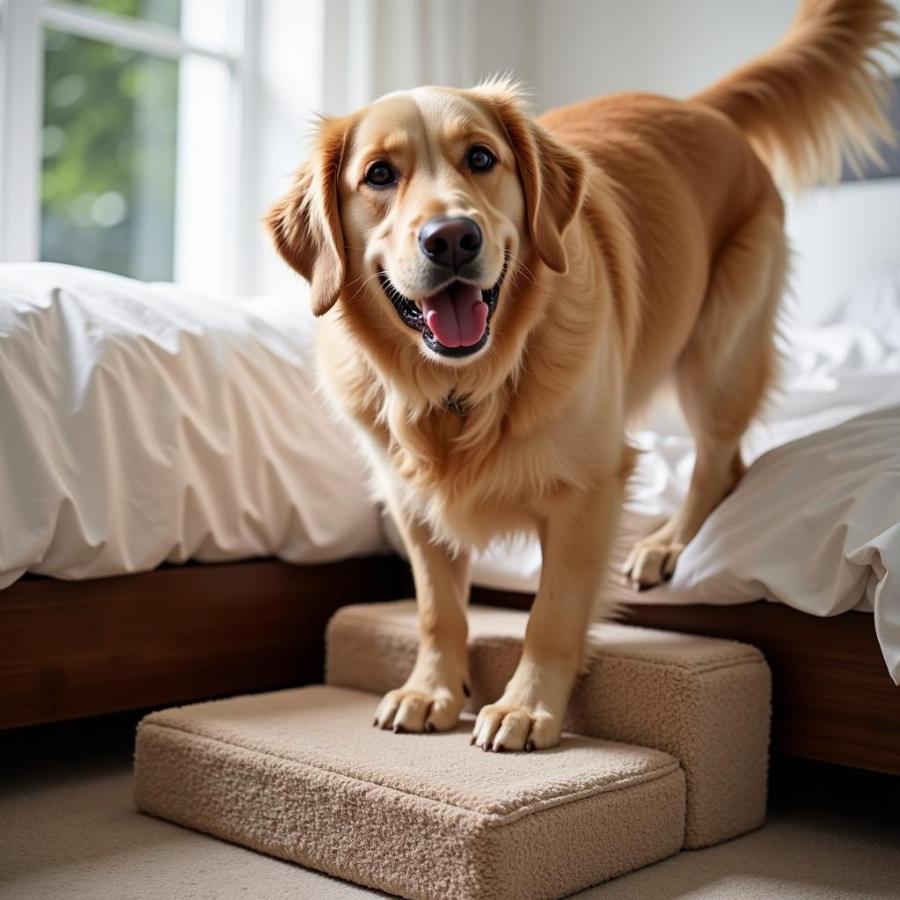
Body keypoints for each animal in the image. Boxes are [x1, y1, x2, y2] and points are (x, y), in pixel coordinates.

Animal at [266, 1, 892, 752]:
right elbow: (436, 610)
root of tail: (695, 106)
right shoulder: (412, 504)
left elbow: (553, 613)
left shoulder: (589, 491)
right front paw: (431, 690)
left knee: (721, 463)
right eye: (380, 175)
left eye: (482, 158)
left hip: (718, 348)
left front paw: (526, 707)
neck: (463, 391)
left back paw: (667, 544)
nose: (453, 239)